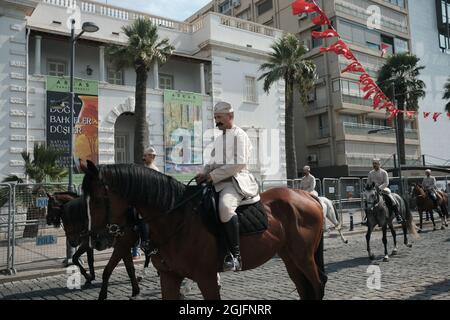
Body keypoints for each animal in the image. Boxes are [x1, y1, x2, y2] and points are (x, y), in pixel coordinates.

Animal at [81, 161, 326, 302]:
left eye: (97, 200)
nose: (96, 241)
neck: (176, 217)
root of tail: (306, 195)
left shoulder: (206, 278)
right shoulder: (169, 277)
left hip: (303, 257)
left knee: (317, 285)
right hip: (289, 257)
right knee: (304, 288)